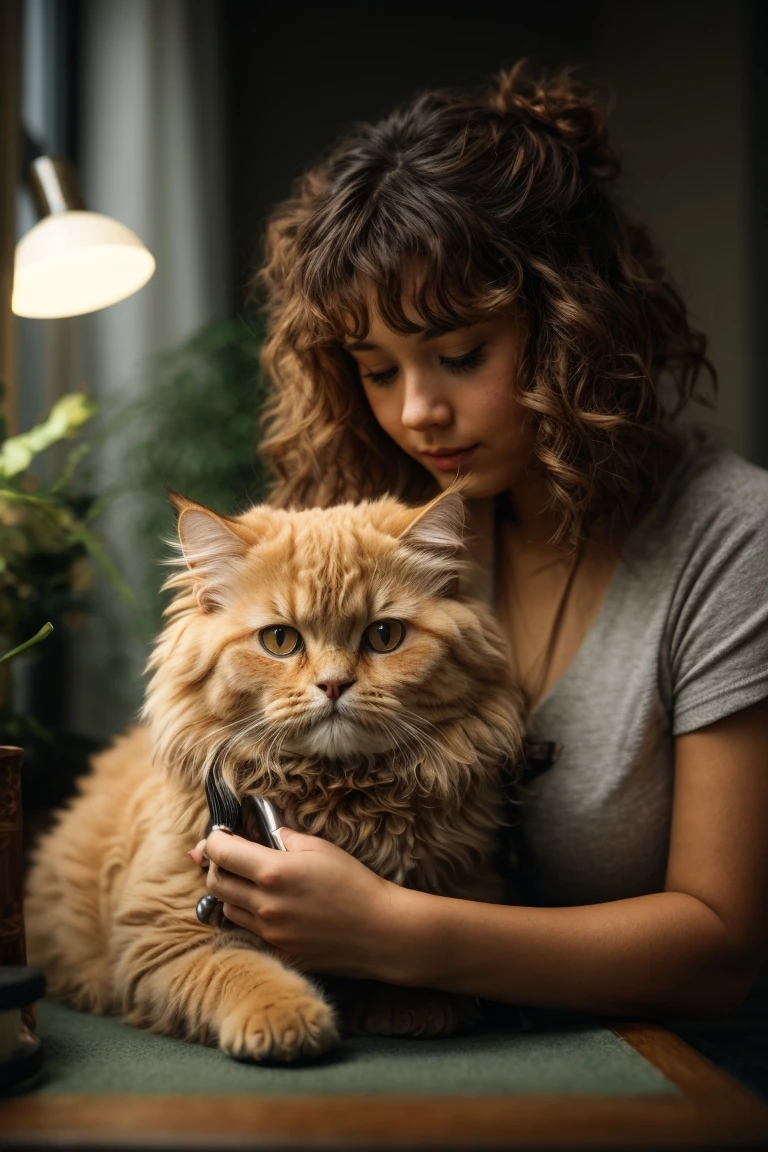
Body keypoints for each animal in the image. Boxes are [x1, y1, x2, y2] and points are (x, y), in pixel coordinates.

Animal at [27, 486, 525, 1059]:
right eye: (281, 641)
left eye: (384, 635)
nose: (334, 685)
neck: (339, 799)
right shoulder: (160, 932)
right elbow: (238, 970)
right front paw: (284, 1018)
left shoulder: (466, 884)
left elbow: (416, 944)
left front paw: (413, 1006)